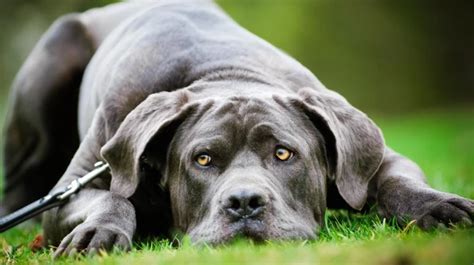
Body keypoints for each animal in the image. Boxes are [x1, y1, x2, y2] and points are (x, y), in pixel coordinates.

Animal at [1, 0, 472, 256]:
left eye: (283, 153)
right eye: (203, 160)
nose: (244, 202)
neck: (225, 74)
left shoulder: (368, 159)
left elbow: (397, 182)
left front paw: (440, 207)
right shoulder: (74, 189)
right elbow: (114, 199)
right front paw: (100, 230)